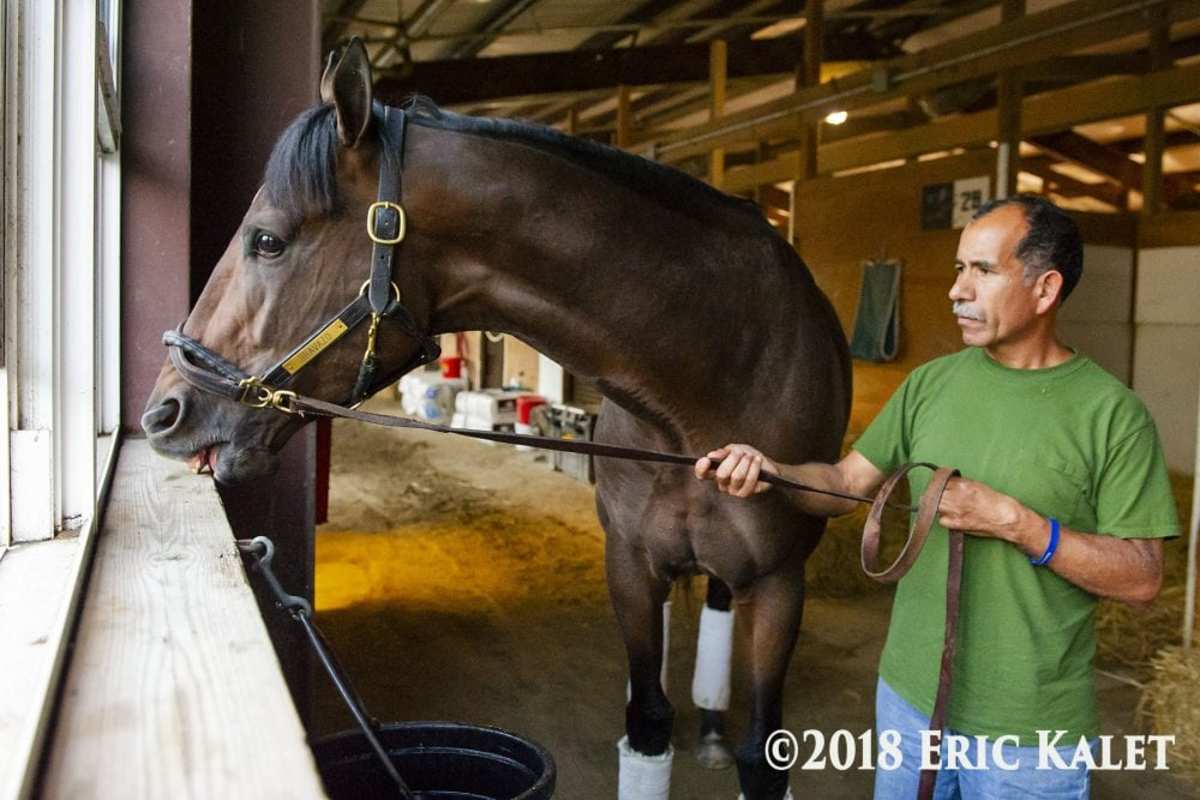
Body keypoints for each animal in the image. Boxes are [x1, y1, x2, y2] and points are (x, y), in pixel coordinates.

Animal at [140, 43, 849, 800]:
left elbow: (763, 753)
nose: (164, 412)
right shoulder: (629, 564)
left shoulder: (780, 583)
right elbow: (647, 719)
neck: (712, 370)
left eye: (268, 241)